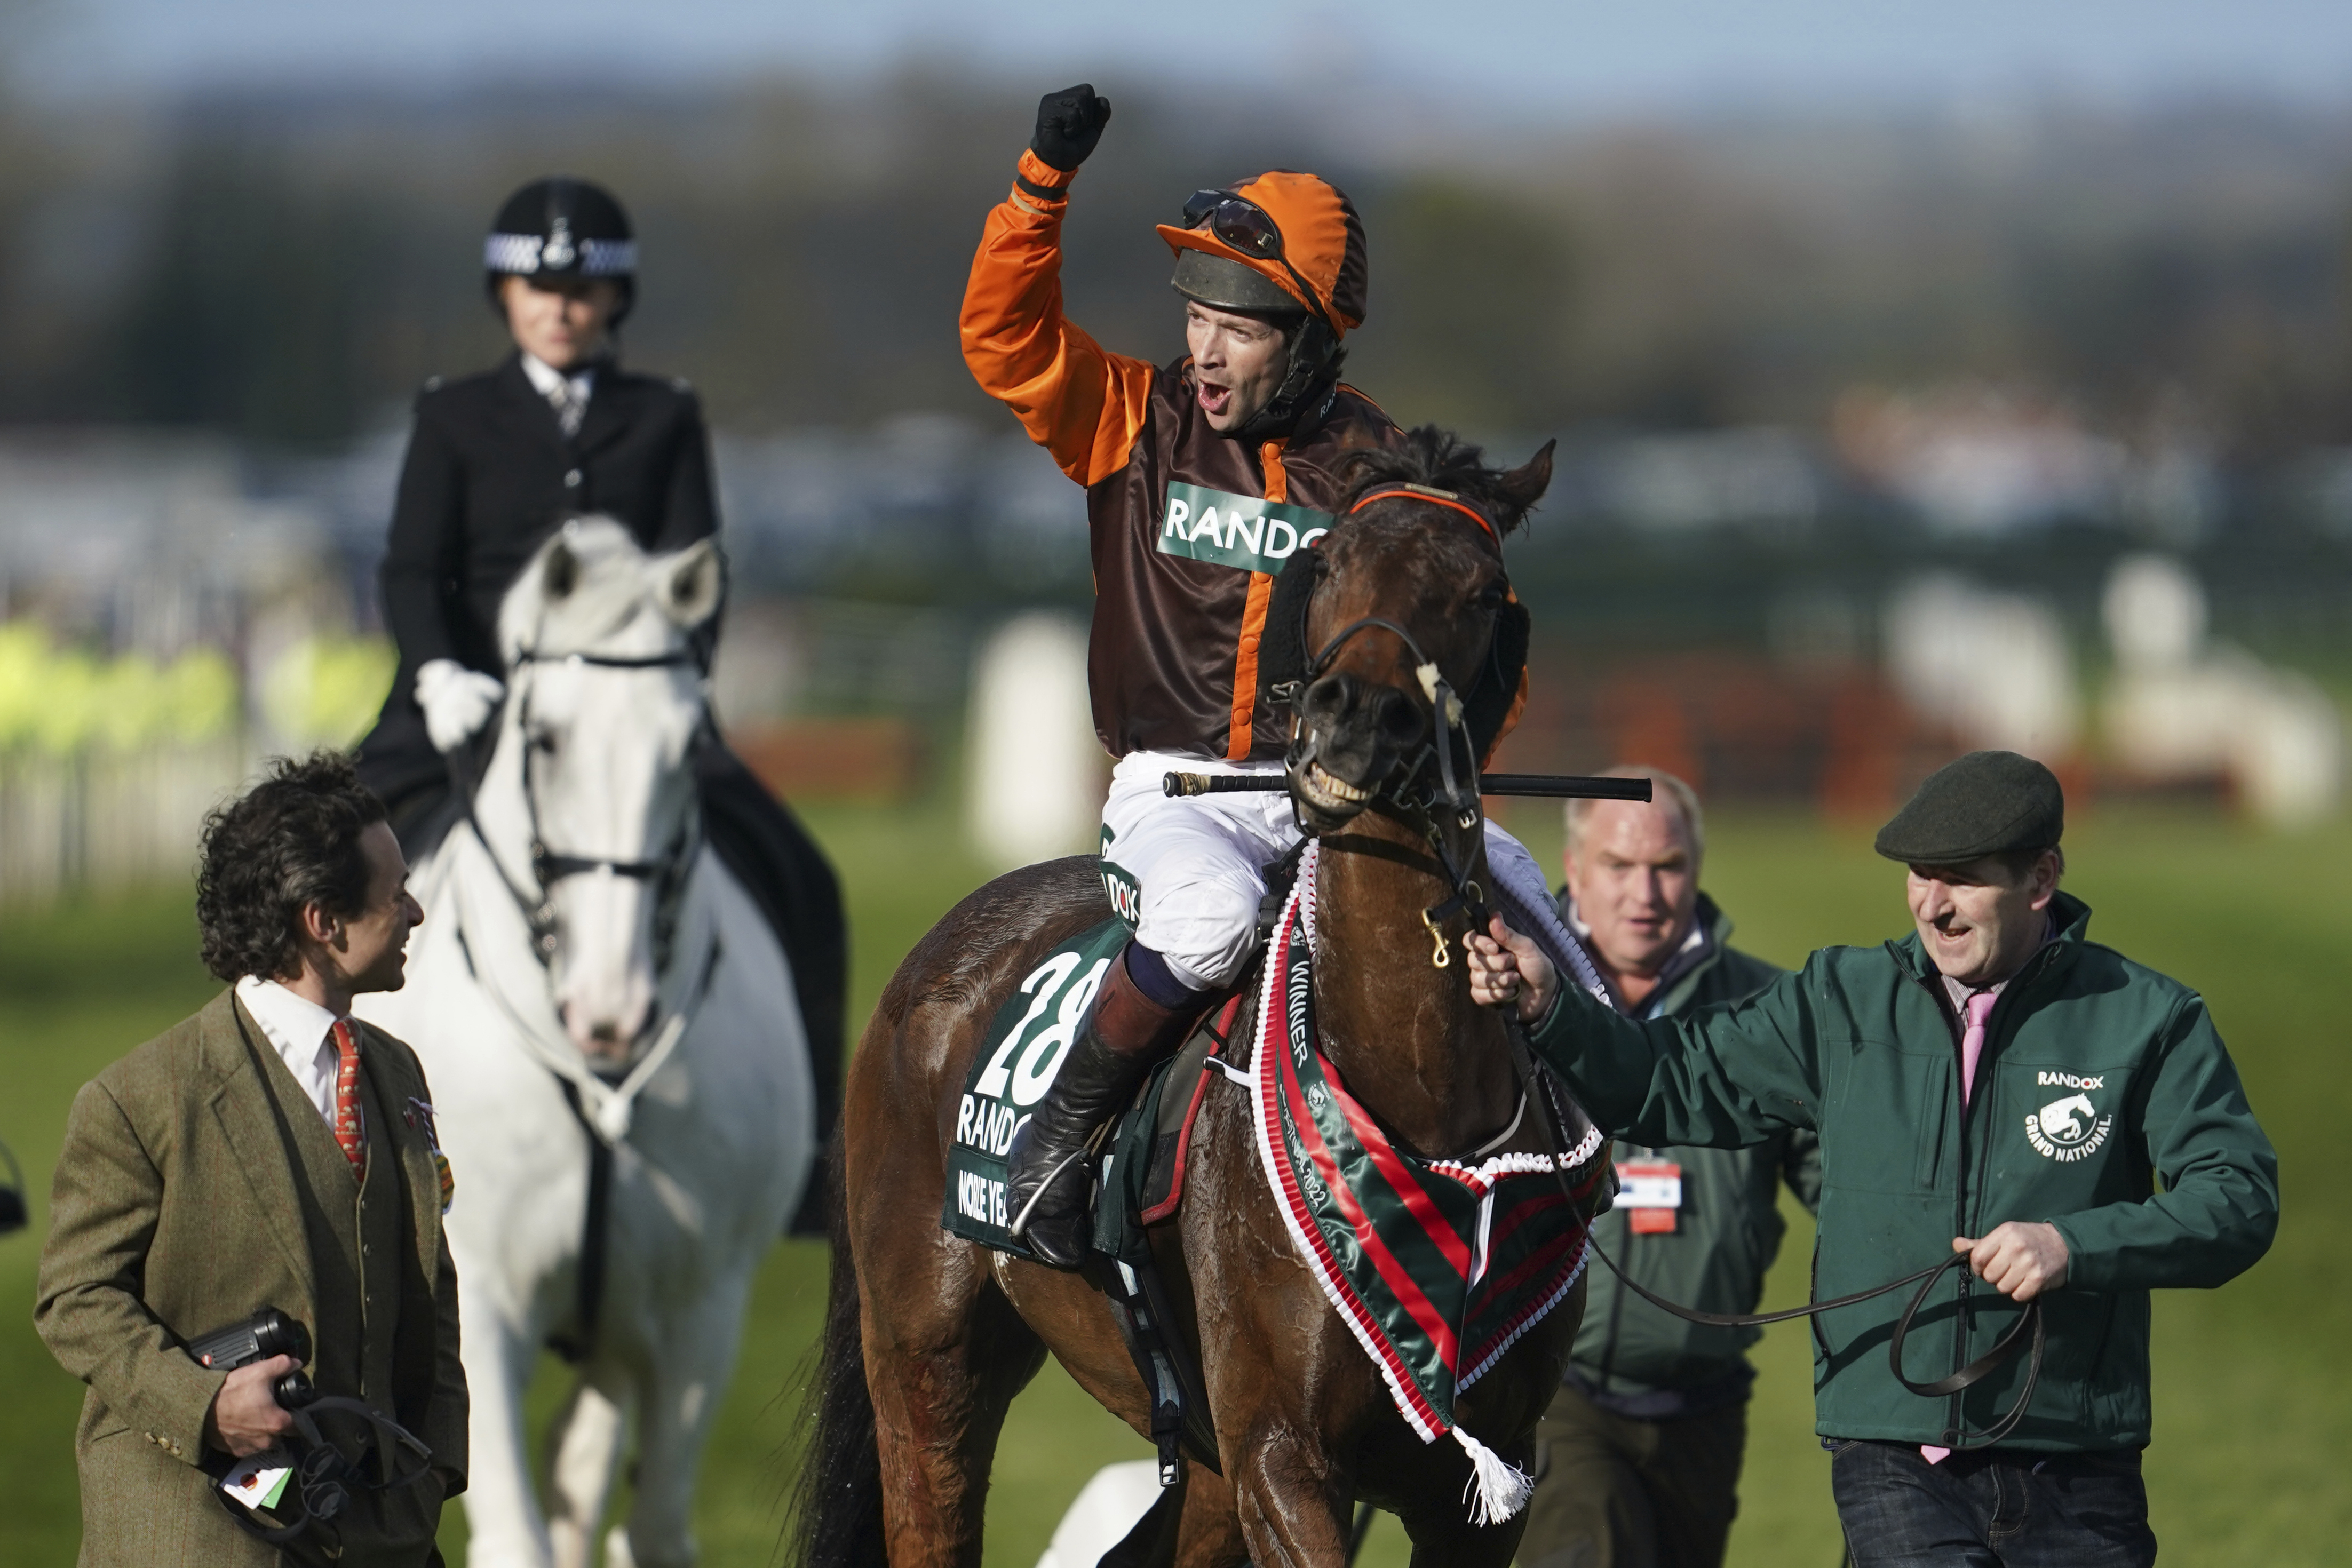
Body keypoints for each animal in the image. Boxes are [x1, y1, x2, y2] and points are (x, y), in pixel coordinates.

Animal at [358, 517, 818, 1568]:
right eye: (544, 738)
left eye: (690, 746)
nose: (611, 1009)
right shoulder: (479, 1303)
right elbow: (517, 1535)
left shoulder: (699, 1315)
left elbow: (652, 1529)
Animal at [797, 433, 1606, 1567]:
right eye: (1330, 558)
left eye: (1484, 590)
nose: (1357, 718)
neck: (1413, 1083)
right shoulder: (1280, 1452)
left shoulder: (1485, 1478)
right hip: (928, 1357)